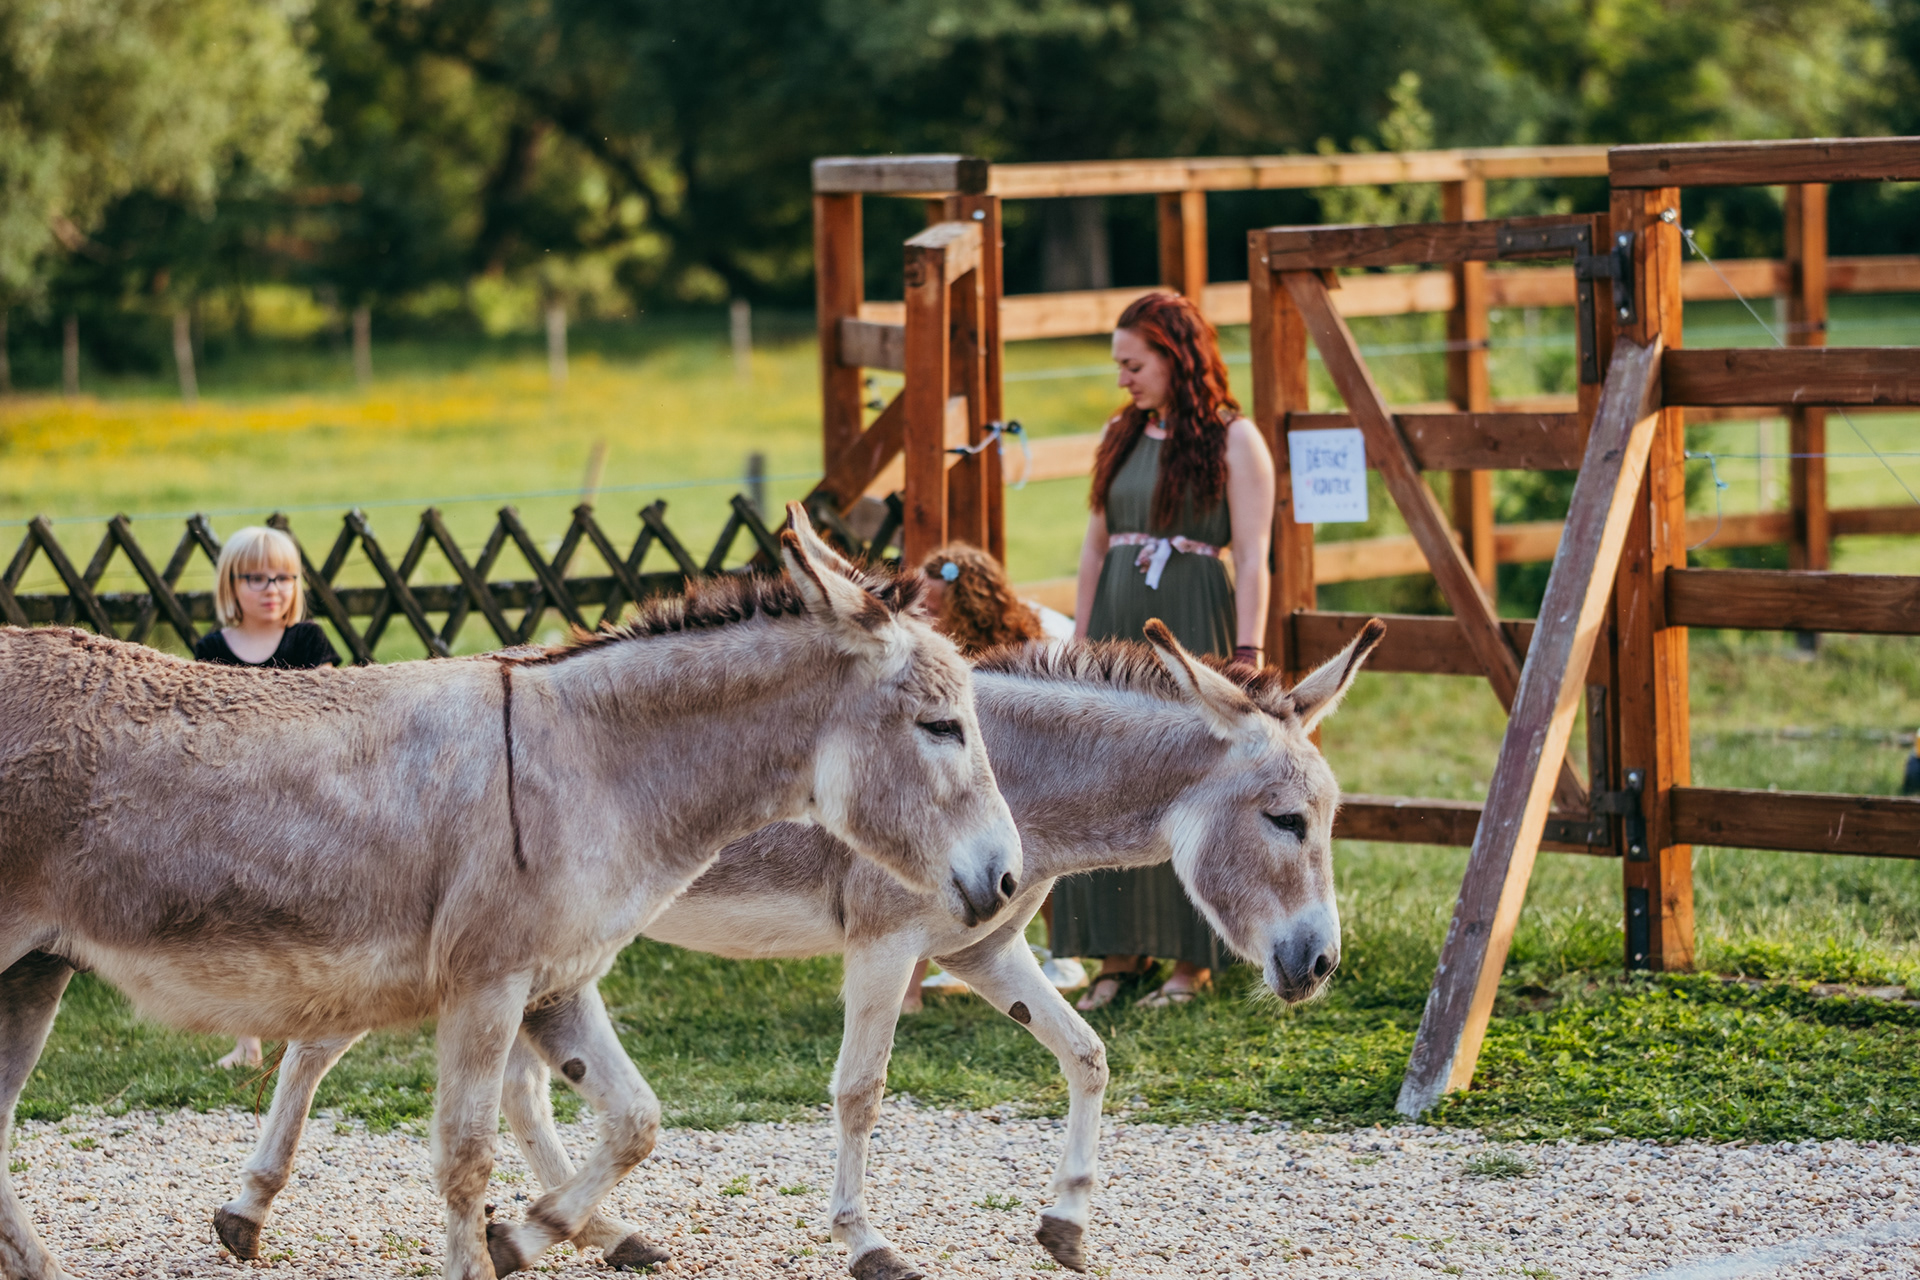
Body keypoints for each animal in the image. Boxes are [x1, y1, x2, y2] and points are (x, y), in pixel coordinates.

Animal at [0, 506, 1022, 1280]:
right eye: (941, 726)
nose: (1009, 879)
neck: (590, 762)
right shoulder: (485, 984)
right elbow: (465, 1156)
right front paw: (489, 1248)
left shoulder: (555, 985)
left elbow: (635, 1122)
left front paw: (526, 1235)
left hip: (34, 970)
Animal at [211, 617, 1383, 1279]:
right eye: (1288, 820)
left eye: (1330, 815)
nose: (1321, 966)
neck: (1014, 775)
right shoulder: (887, 942)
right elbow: (860, 1090)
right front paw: (867, 1243)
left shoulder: (984, 954)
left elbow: (1089, 1056)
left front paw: (1067, 1226)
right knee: (317, 1049)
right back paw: (248, 1209)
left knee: (520, 1089)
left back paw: (596, 1232)